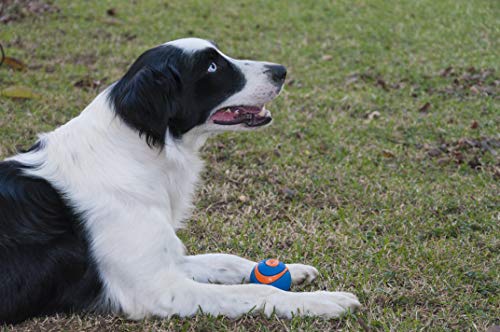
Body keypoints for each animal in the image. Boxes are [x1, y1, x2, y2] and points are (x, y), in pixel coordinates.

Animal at [0, 37, 360, 324]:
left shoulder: (168, 259)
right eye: (212, 67)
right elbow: (259, 292)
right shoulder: (157, 289)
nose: (281, 70)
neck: (135, 151)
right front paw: (323, 301)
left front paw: (294, 270)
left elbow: (227, 261)